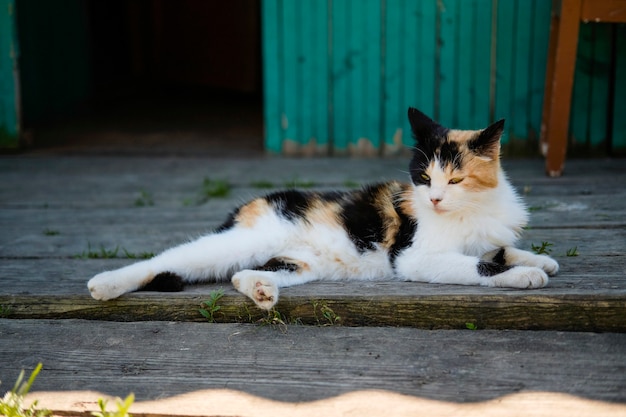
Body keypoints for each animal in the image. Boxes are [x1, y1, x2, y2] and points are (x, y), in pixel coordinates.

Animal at [86, 107, 556, 308]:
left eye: (455, 179)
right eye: (424, 178)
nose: (435, 198)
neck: (474, 207)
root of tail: (250, 205)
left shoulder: (487, 235)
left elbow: (499, 249)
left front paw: (540, 259)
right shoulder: (415, 257)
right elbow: (479, 265)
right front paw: (526, 275)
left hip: (301, 263)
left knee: (241, 274)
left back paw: (262, 291)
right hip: (236, 242)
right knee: (164, 259)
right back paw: (105, 284)